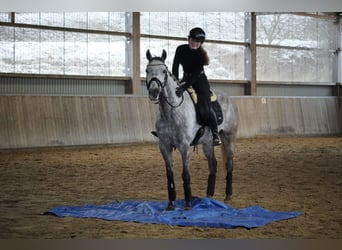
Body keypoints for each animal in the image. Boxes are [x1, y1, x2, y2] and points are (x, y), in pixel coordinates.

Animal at [144, 49, 238, 210]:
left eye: (164, 71)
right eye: (147, 70)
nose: (154, 92)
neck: (171, 110)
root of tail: (228, 99)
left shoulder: (184, 146)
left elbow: (185, 174)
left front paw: (188, 203)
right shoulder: (164, 146)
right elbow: (169, 175)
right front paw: (171, 203)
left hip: (228, 138)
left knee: (229, 164)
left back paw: (228, 196)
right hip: (207, 143)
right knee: (213, 165)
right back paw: (208, 197)